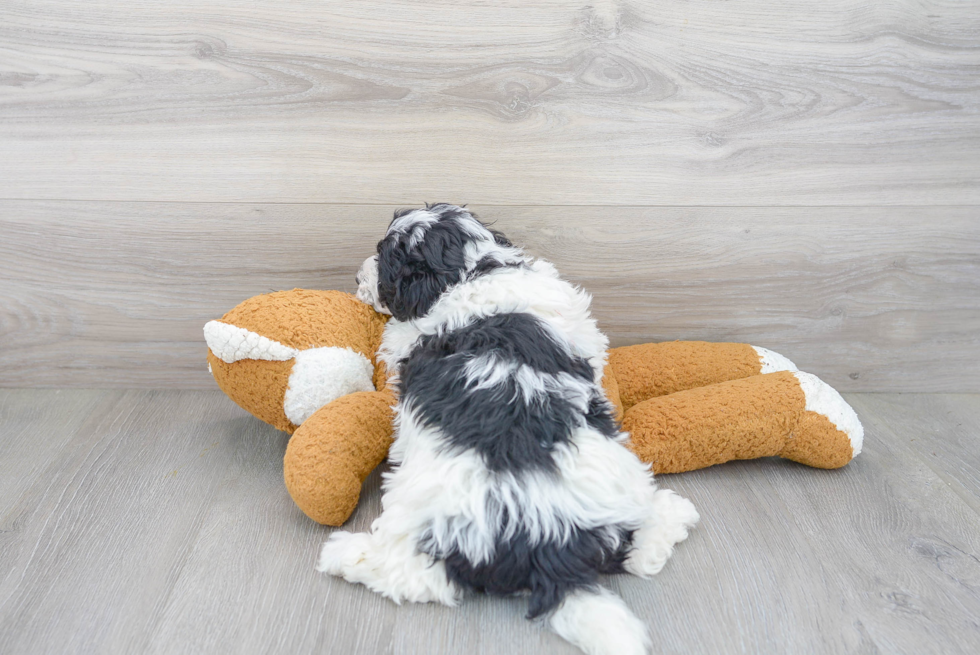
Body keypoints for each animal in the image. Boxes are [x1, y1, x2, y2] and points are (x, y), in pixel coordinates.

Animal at [320, 205, 696, 655]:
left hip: (427, 516)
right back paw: (669, 518)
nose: (356, 276)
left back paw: (344, 554)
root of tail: (551, 544)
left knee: (414, 576)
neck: (474, 270)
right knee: (633, 544)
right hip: (618, 473)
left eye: (385, 258)